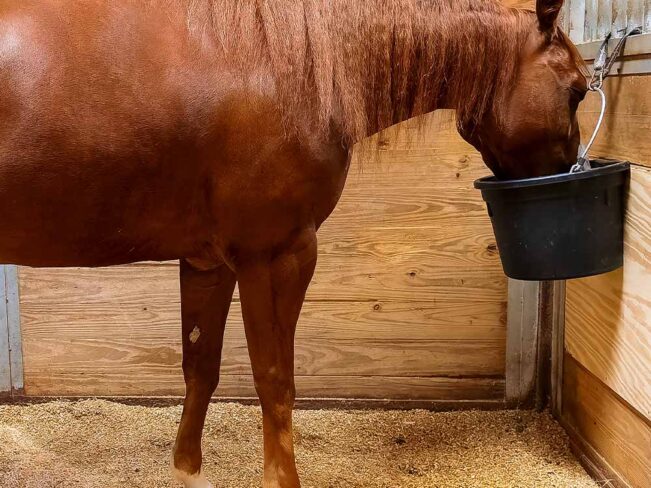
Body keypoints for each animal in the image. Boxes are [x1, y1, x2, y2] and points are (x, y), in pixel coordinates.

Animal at [0, 0, 587, 486]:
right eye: (578, 90)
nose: (567, 175)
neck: (280, 68)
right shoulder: (274, 258)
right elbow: (275, 383)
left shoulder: (209, 262)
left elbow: (202, 368)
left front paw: (189, 471)